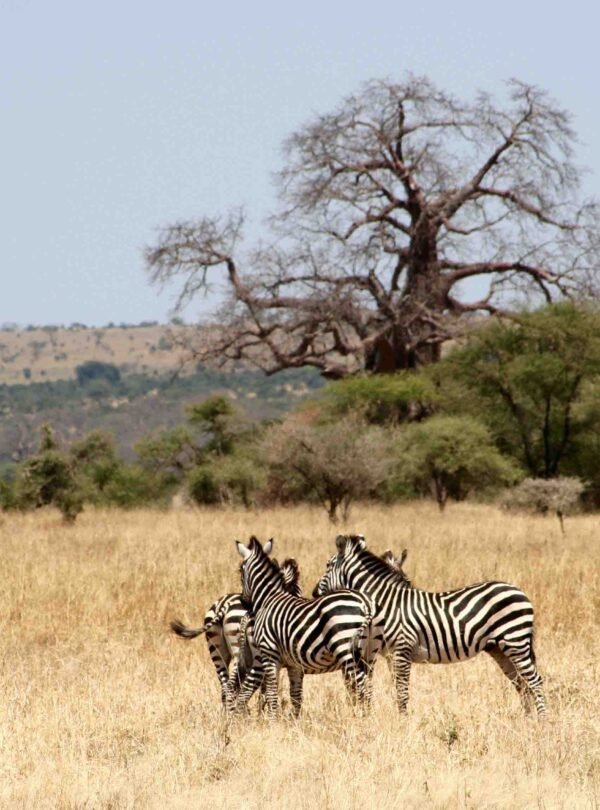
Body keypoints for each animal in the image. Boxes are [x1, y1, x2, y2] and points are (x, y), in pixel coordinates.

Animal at [234, 532, 384, 716]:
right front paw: (293, 721)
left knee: (361, 686)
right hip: (369, 652)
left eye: (240, 571)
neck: (268, 598)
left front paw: (273, 720)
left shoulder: (269, 653)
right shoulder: (293, 664)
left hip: (344, 648)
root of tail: (365, 604)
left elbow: (272, 693)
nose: (244, 603)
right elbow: (296, 696)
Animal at [314, 532, 548, 716]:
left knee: (535, 681)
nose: (314, 593)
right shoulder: (390, 655)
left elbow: (402, 692)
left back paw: (543, 721)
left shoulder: (402, 649)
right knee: (521, 683)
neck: (385, 603)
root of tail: (519, 591)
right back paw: (527, 720)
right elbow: (395, 689)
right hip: (500, 648)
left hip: (515, 640)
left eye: (327, 565)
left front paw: (403, 722)